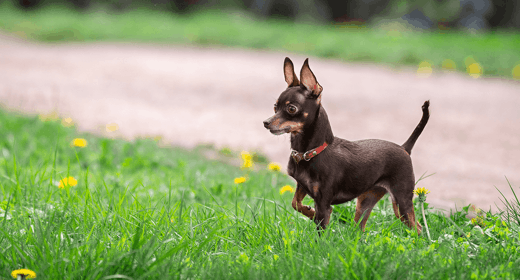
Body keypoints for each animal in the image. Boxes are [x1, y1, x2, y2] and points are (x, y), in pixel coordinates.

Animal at [262, 57, 428, 234]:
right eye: (275, 107)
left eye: (291, 109)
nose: (266, 122)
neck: (311, 152)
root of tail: (404, 148)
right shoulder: (302, 186)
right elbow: (295, 203)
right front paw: (309, 211)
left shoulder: (324, 204)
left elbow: (320, 230)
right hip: (368, 200)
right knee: (360, 227)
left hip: (401, 200)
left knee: (417, 228)